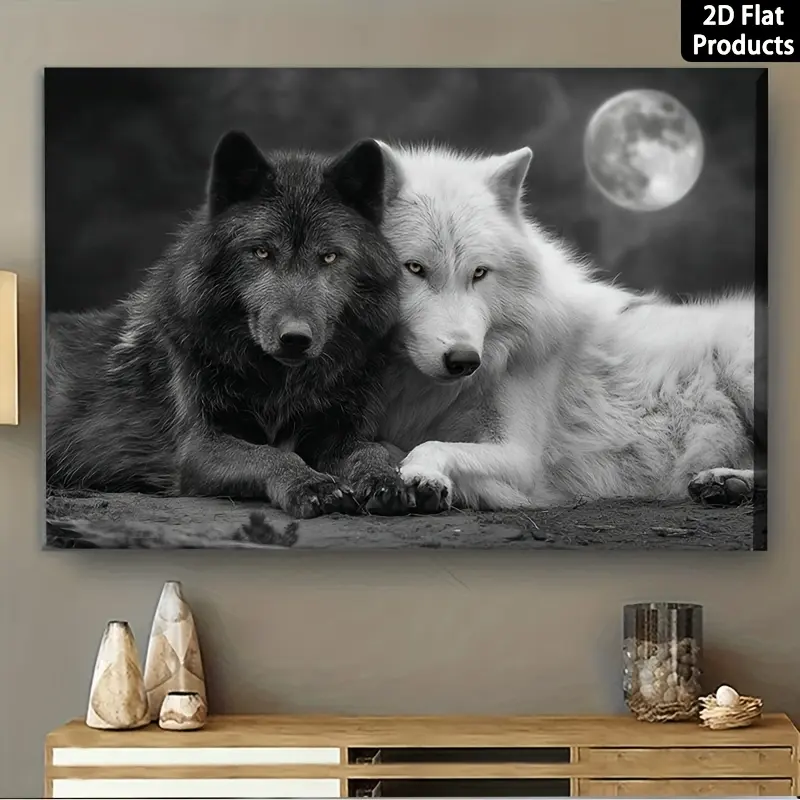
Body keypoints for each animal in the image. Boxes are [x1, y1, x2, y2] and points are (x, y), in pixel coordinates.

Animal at [46, 130, 410, 521]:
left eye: (329, 256)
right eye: (262, 252)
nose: (295, 338)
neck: (283, 388)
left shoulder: (340, 433)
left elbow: (372, 450)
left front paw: (387, 480)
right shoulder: (200, 445)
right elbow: (272, 454)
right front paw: (312, 484)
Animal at [374, 142, 765, 514]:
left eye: (479, 272)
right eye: (415, 268)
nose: (464, 360)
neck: (425, 394)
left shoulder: (522, 456)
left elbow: (431, 445)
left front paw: (421, 475)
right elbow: (384, 445)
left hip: (741, 367)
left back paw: (728, 481)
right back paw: (727, 483)